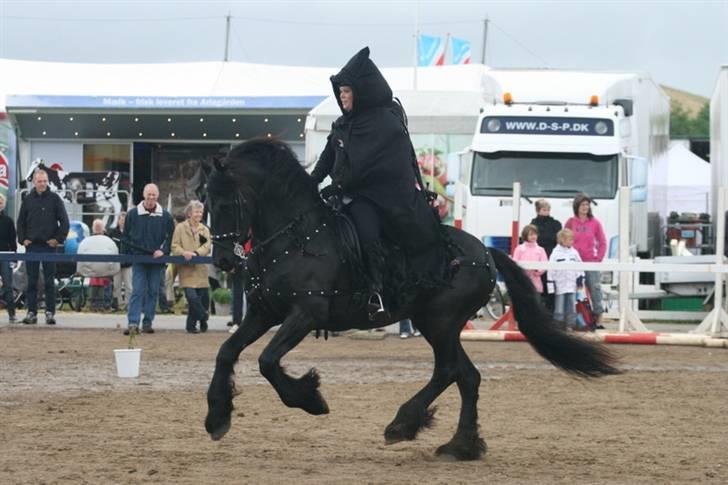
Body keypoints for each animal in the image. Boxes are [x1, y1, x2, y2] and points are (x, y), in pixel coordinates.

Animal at [206, 138, 620, 460]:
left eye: (227, 202)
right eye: (206, 202)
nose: (224, 260)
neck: (298, 238)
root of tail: (484, 253)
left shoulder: (305, 314)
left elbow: (267, 361)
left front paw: (310, 398)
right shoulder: (264, 312)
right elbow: (227, 352)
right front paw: (217, 416)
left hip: (440, 322)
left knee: (449, 371)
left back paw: (404, 424)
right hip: (438, 324)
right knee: (467, 376)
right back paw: (460, 445)